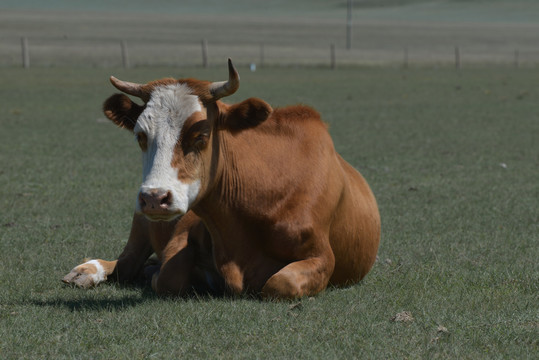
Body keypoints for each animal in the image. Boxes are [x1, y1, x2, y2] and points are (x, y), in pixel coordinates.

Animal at [63, 59, 382, 300]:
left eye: (201, 135)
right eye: (141, 136)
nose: (155, 198)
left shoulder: (322, 257)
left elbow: (281, 283)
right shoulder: (182, 234)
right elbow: (168, 276)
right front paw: (154, 273)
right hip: (141, 223)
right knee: (126, 263)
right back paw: (87, 271)